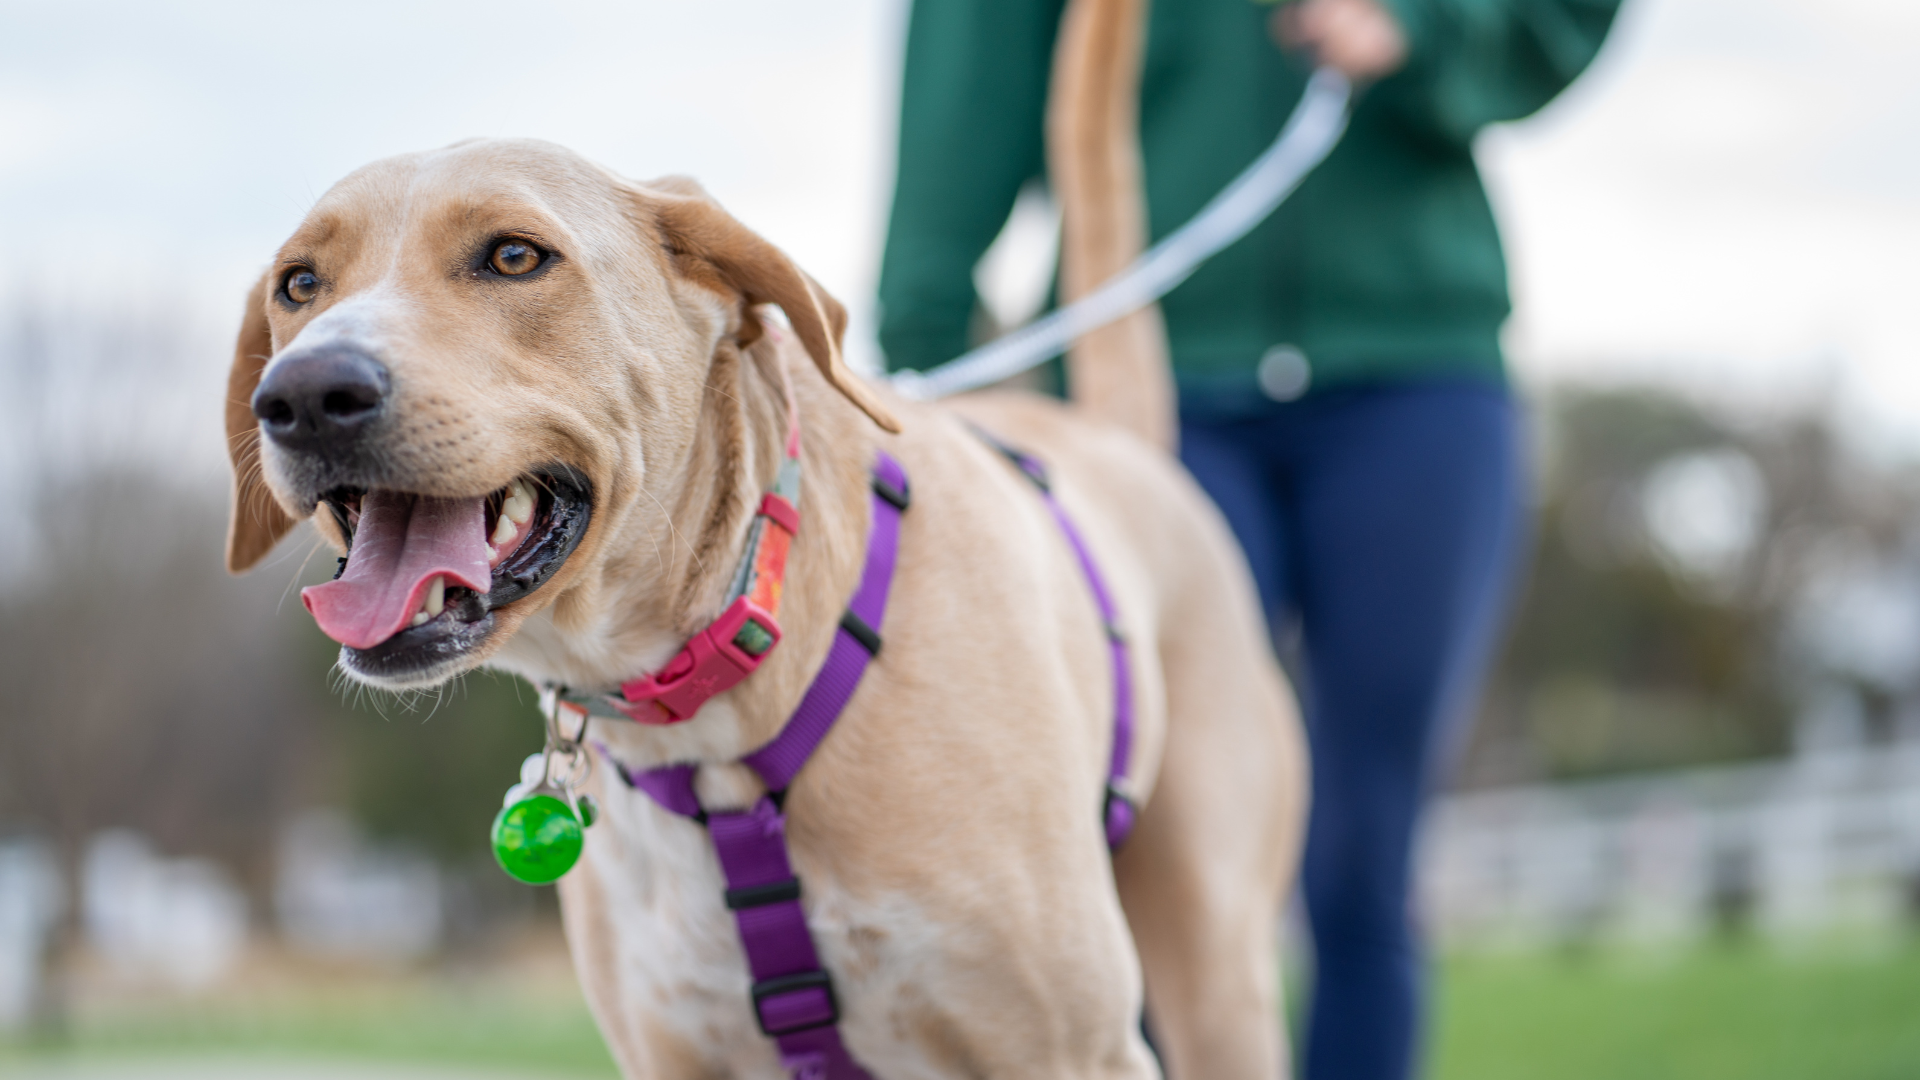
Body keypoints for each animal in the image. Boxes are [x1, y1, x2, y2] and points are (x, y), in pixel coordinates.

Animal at [224, 4, 1305, 1068]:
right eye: (300, 283)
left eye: (515, 256)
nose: (304, 396)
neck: (710, 705)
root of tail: (1116, 443)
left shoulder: (1075, 1049)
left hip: (1219, 981)